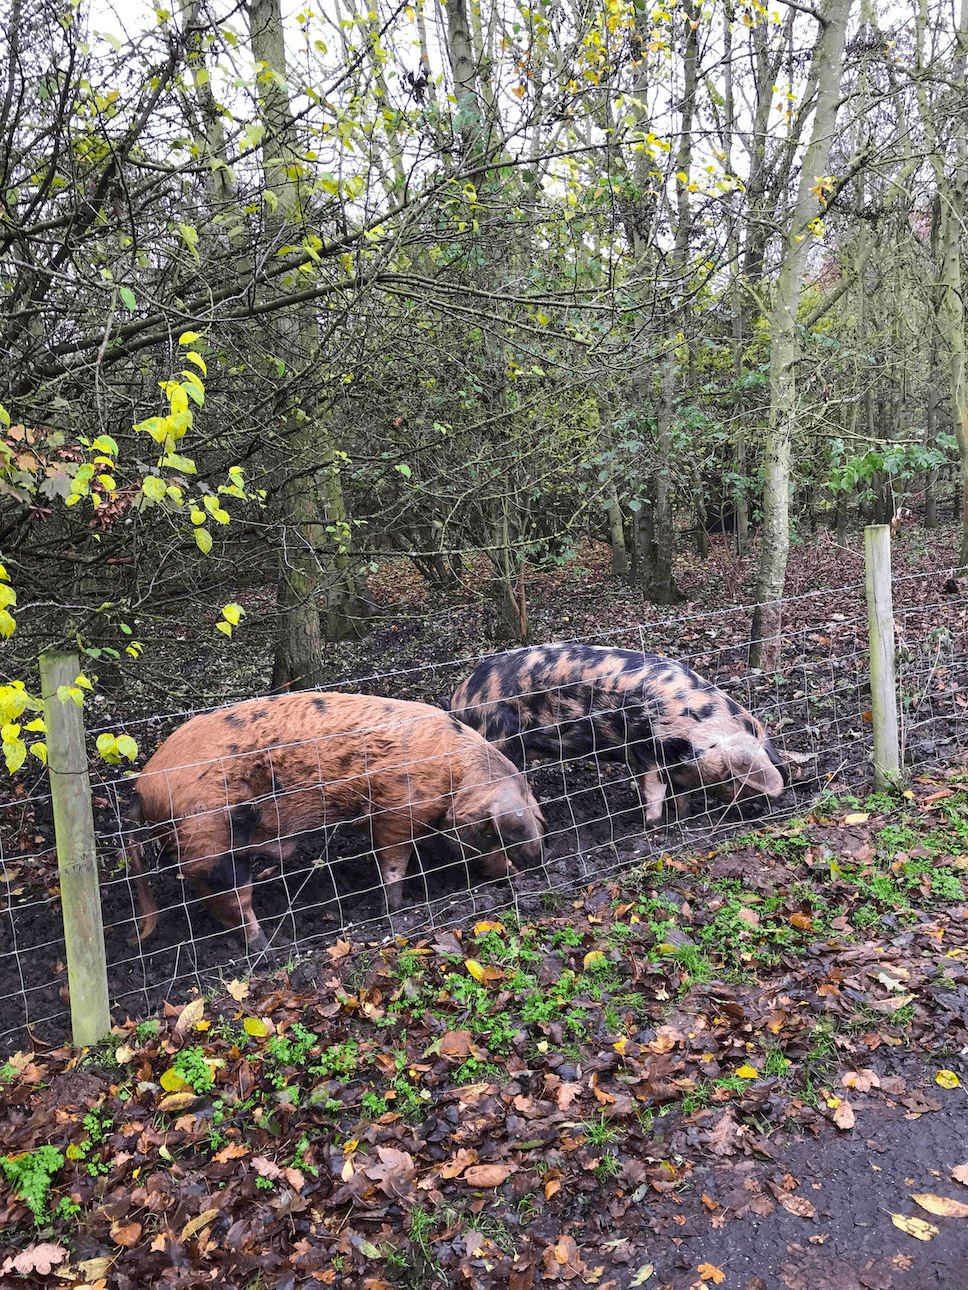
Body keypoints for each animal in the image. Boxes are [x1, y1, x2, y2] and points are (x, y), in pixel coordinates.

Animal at [125, 696, 547, 949]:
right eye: (501, 832)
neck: (454, 777)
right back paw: (269, 947)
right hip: (211, 839)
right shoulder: (397, 811)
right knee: (232, 894)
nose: (535, 864)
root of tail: (143, 788)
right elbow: (394, 863)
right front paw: (395, 910)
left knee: (208, 894)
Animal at [446, 645, 789, 825]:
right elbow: (654, 788)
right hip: (500, 739)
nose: (773, 800)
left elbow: (679, 792)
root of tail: (460, 696)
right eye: (735, 776)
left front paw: (683, 816)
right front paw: (652, 825)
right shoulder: (645, 744)